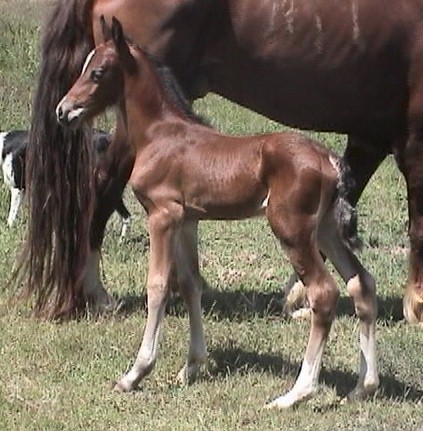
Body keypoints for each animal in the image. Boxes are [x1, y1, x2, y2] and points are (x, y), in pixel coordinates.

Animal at [24, 0, 423, 320]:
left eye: (96, 71)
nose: (64, 110)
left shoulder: (369, 137)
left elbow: (341, 211)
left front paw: (297, 297)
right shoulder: (411, 137)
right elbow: (417, 223)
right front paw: (416, 306)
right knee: (102, 187)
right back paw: (97, 292)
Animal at [57, 16, 380, 408]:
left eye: (98, 72)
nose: (63, 111)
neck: (160, 134)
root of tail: (329, 160)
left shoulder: (161, 216)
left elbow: (158, 286)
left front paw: (135, 373)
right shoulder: (187, 220)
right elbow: (190, 283)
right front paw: (192, 366)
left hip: (292, 230)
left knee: (324, 293)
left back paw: (296, 394)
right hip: (327, 230)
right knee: (361, 283)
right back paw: (363, 385)